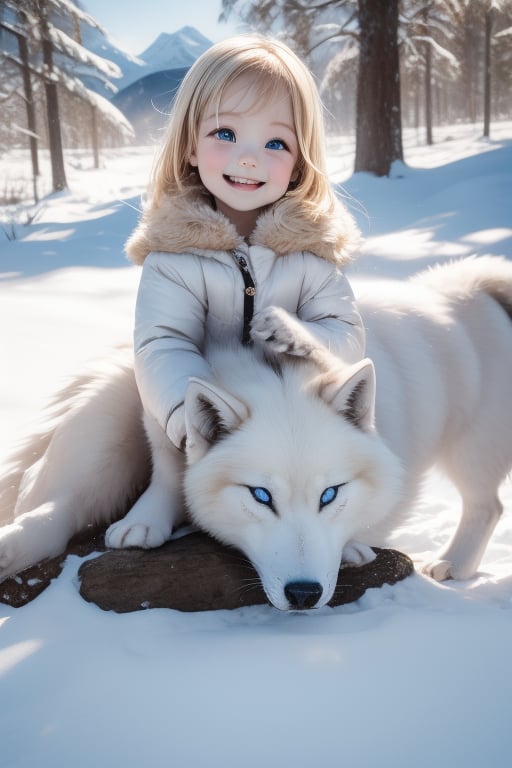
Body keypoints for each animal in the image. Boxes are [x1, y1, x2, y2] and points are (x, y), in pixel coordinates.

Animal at [1, 255, 512, 608]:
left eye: (330, 494)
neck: (274, 372)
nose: (304, 594)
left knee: (487, 505)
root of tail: (470, 286)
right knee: (59, 508)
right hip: (107, 424)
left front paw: (353, 546)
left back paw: (454, 564)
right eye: (261, 496)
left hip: (471, 448)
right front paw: (147, 519)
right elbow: (167, 469)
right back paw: (13, 547)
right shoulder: (161, 411)